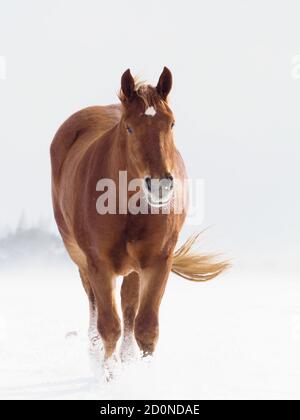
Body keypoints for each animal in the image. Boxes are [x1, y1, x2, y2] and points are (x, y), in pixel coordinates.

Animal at [50, 67, 227, 366]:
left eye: (171, 124)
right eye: (130, 127)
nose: (160, 185)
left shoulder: (158, 261)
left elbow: (146, 327)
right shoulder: (99, 264)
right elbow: (109, 327)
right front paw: (107, 373)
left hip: (133, 267)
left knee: (129, 306)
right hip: (81, 258)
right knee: (95, 307)